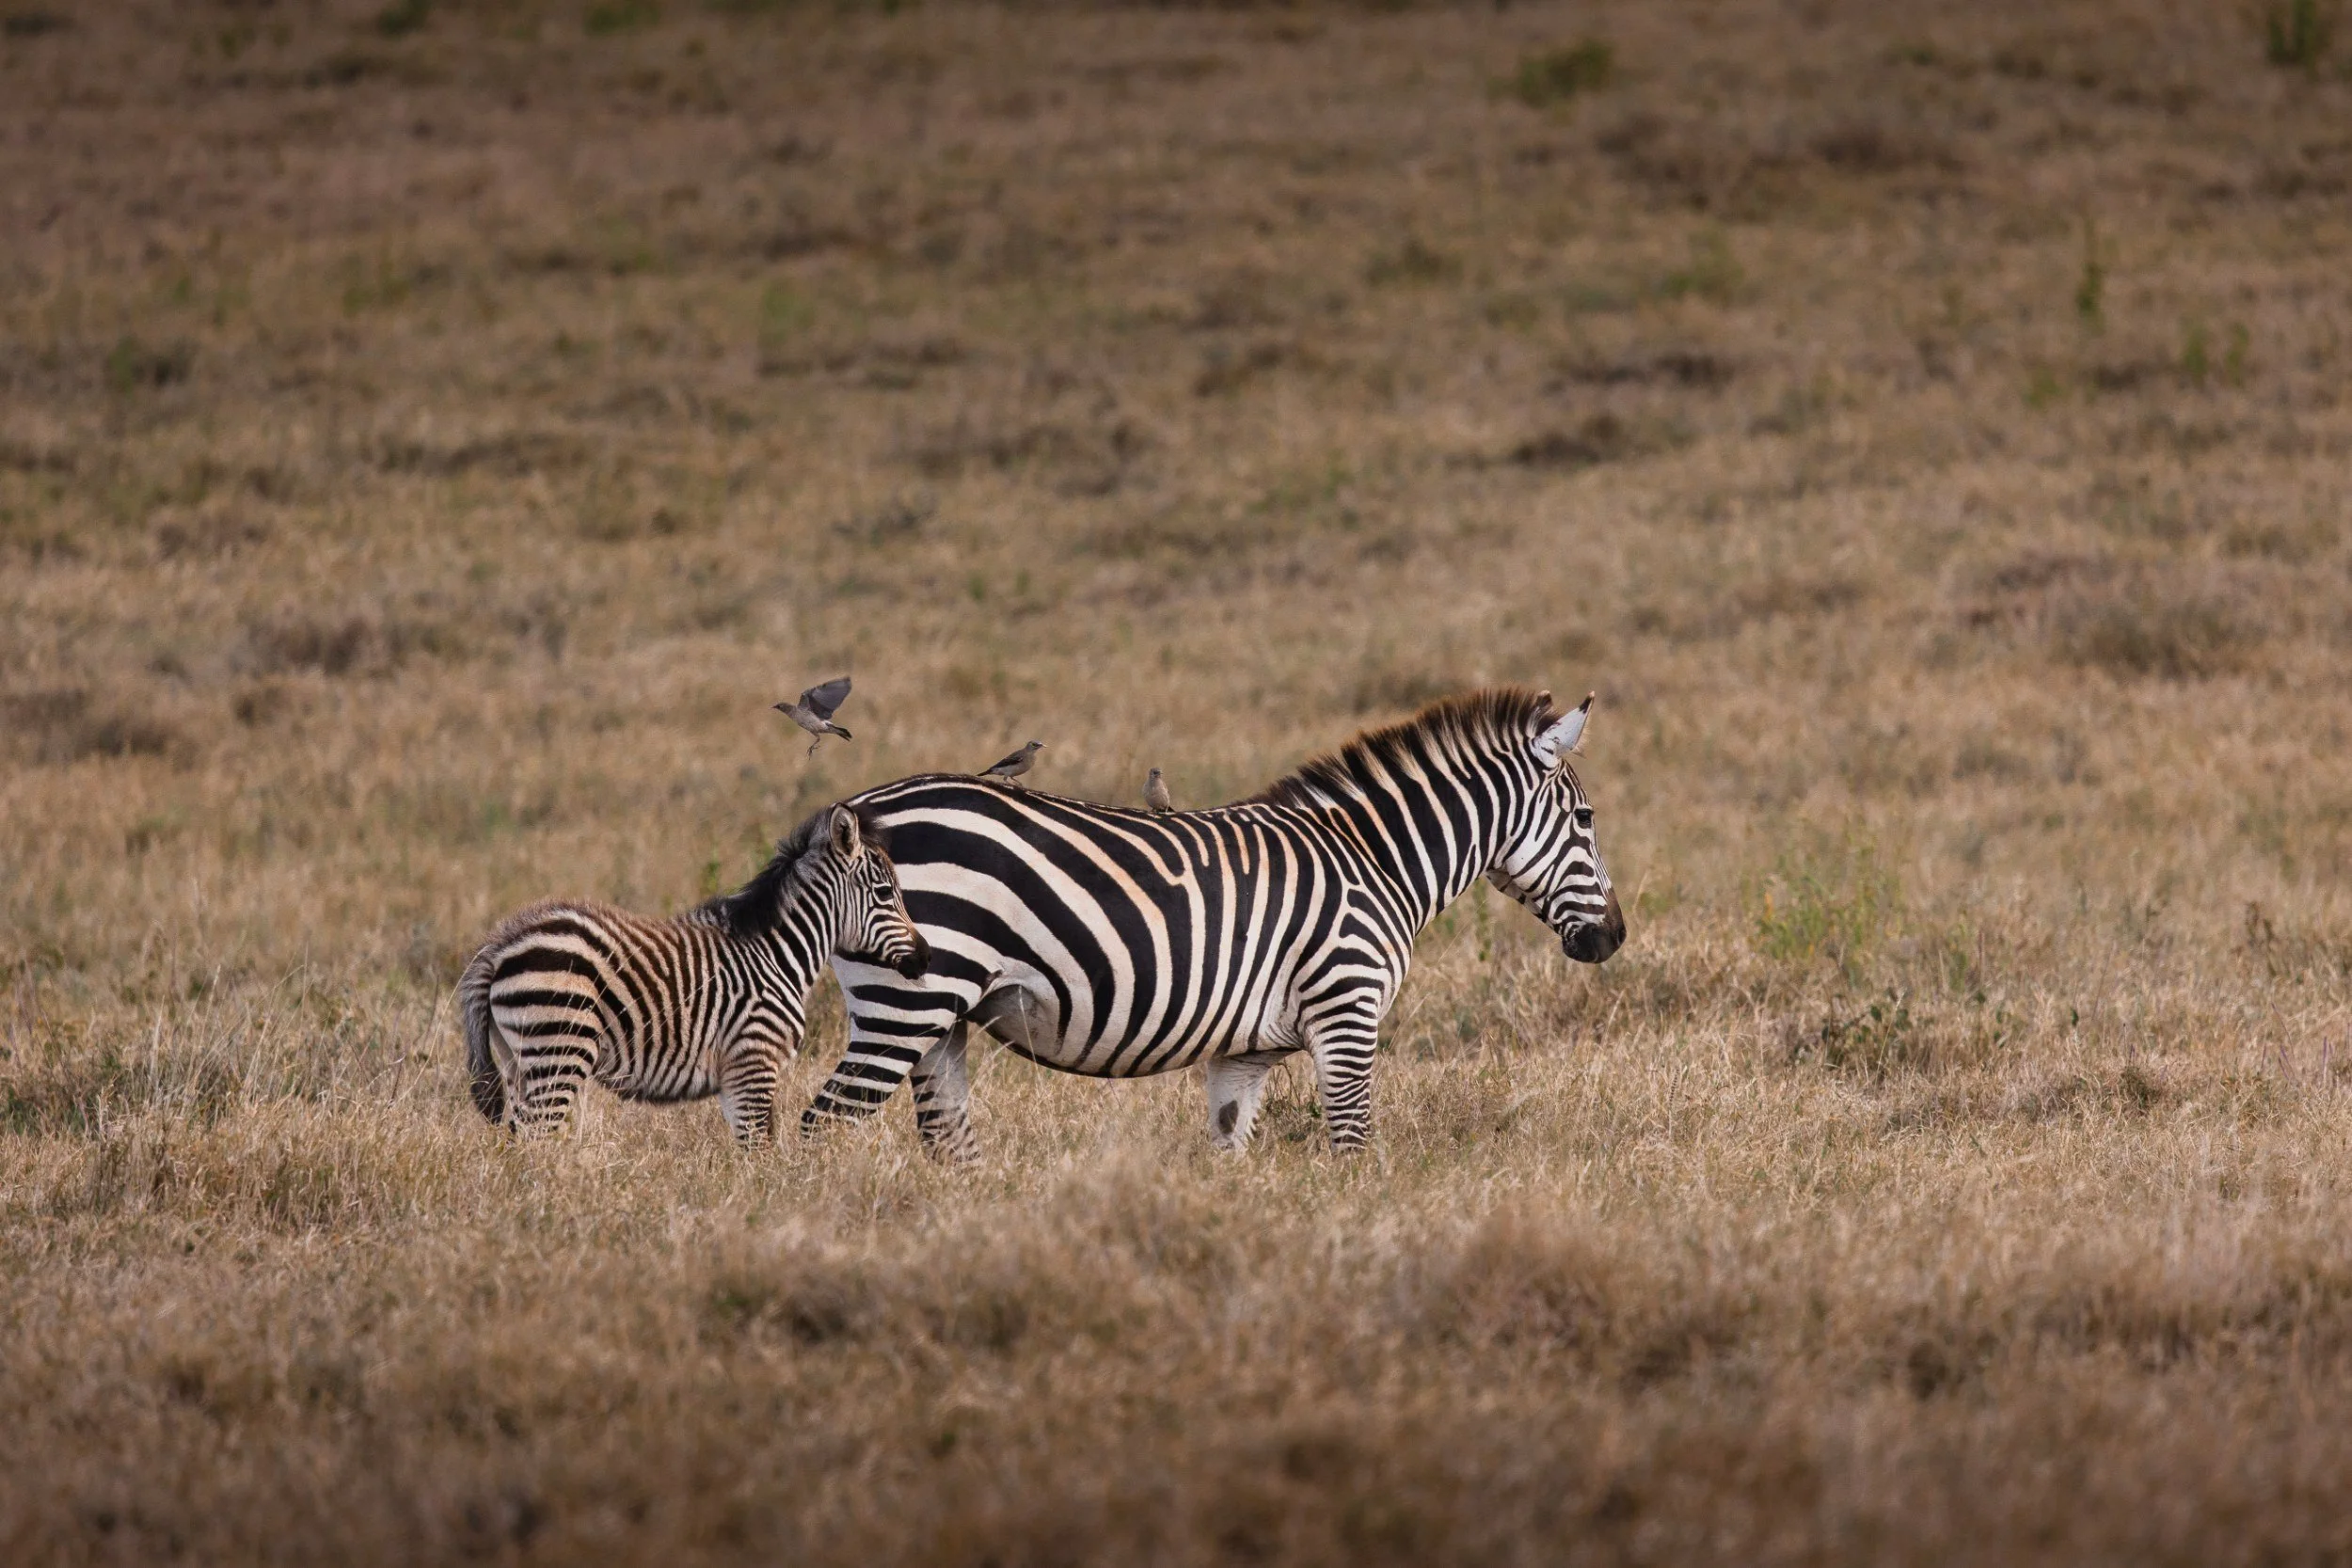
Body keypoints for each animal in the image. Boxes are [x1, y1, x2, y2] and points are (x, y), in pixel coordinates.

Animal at [459, 803, 928, 1148]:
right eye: (885, 893)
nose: (925, 958)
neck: (778, 955)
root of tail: (502, 942)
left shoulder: (737, 1078)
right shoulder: (753, 1062)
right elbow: (760, 1152)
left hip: (520, 1060)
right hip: (559, 1050)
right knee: (533, 1142)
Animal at [801, 686, 1623, 1159]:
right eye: (1586, 820)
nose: (1613, 937)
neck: (1377, 859)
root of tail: (857, 810)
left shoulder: (1245, 1053)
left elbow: (1228, 1153)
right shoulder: (1346, 1009)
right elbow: (1354, 1146)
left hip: (940, 1017)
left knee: (946, 1141)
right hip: (904, 1003)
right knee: (822, 1125)